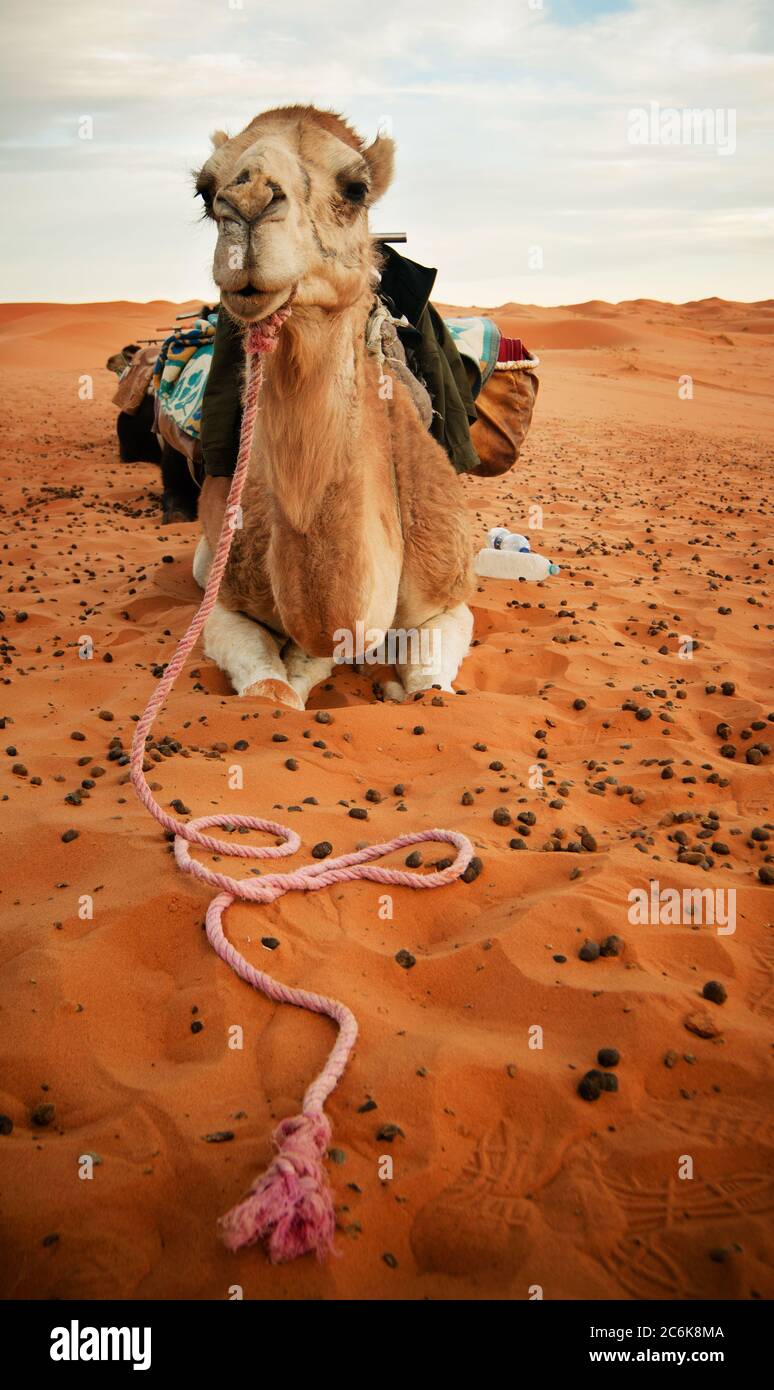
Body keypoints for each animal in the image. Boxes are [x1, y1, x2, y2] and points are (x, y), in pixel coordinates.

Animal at [191, 105, 469, 706]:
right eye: (204, 190)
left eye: (356, 188)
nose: (248, 201)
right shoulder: (225, 600)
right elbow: (271, 690)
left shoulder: (448, 600)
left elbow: (430, 688)